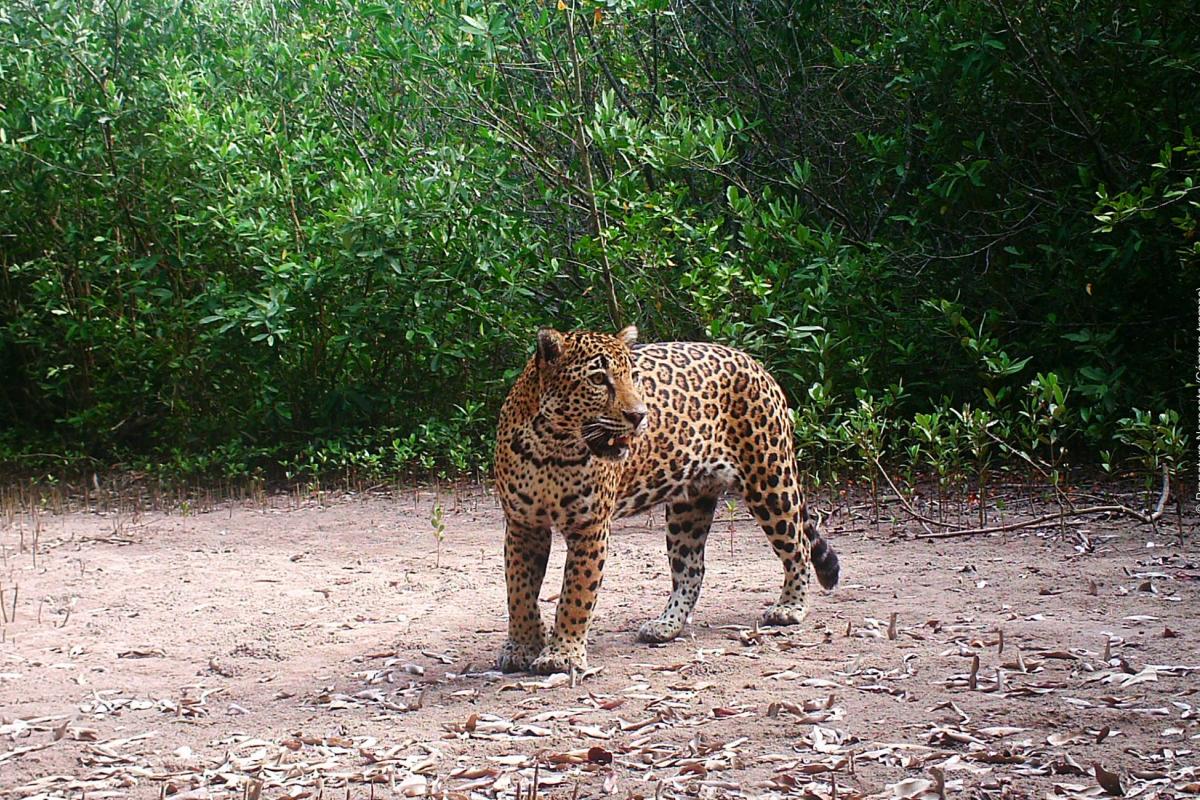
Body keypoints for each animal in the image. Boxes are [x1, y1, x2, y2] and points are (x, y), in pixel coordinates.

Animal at [494, 326, 839, 675]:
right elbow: (520, 592)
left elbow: (576, 594)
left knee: (799, 546)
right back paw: (666, 625)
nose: (638, 416)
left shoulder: (589, 527)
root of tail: (753, 362)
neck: (553, 448)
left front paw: (562, 653)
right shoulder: (524, 524)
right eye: (598, 379)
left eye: (632, 377)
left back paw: (790, 607)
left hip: (770, 480)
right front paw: (523, 647)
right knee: (692, 568)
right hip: (690, 506)